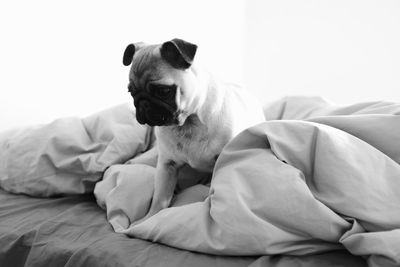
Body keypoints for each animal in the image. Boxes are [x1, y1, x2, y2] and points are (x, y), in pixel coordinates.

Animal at [122, 38, 266, 222]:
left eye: (163, 91)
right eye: (131, 92)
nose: (143, 103)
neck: (188, 123)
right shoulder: (166, 165)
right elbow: (160, 197)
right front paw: (151, 217)